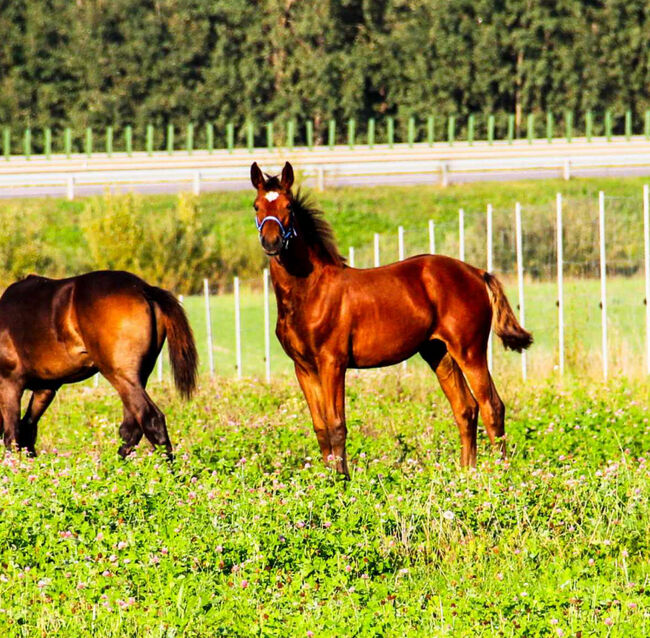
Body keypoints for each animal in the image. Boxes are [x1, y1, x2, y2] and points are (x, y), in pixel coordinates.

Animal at [0, 272, 197, 458]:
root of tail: (144, 288)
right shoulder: (45, 388)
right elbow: (27, 430)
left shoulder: (10, 383)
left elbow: (12, 436)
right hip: (137, 378)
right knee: (131, 429)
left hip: (120, 376)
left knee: (151, 420)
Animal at [251, 162, 528, 478]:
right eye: (256, 205)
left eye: (288, 207)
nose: (271, 242)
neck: (310, 291)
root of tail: (477, 272)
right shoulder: (304, 368)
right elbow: (320, 427)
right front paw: (328, 480)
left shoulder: (333, 363)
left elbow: (336, 425)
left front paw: (342, 482)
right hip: (439, 353)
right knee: (466, 409)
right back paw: (464, 474)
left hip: (469, 350)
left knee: (492, 405)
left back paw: (500, 475)